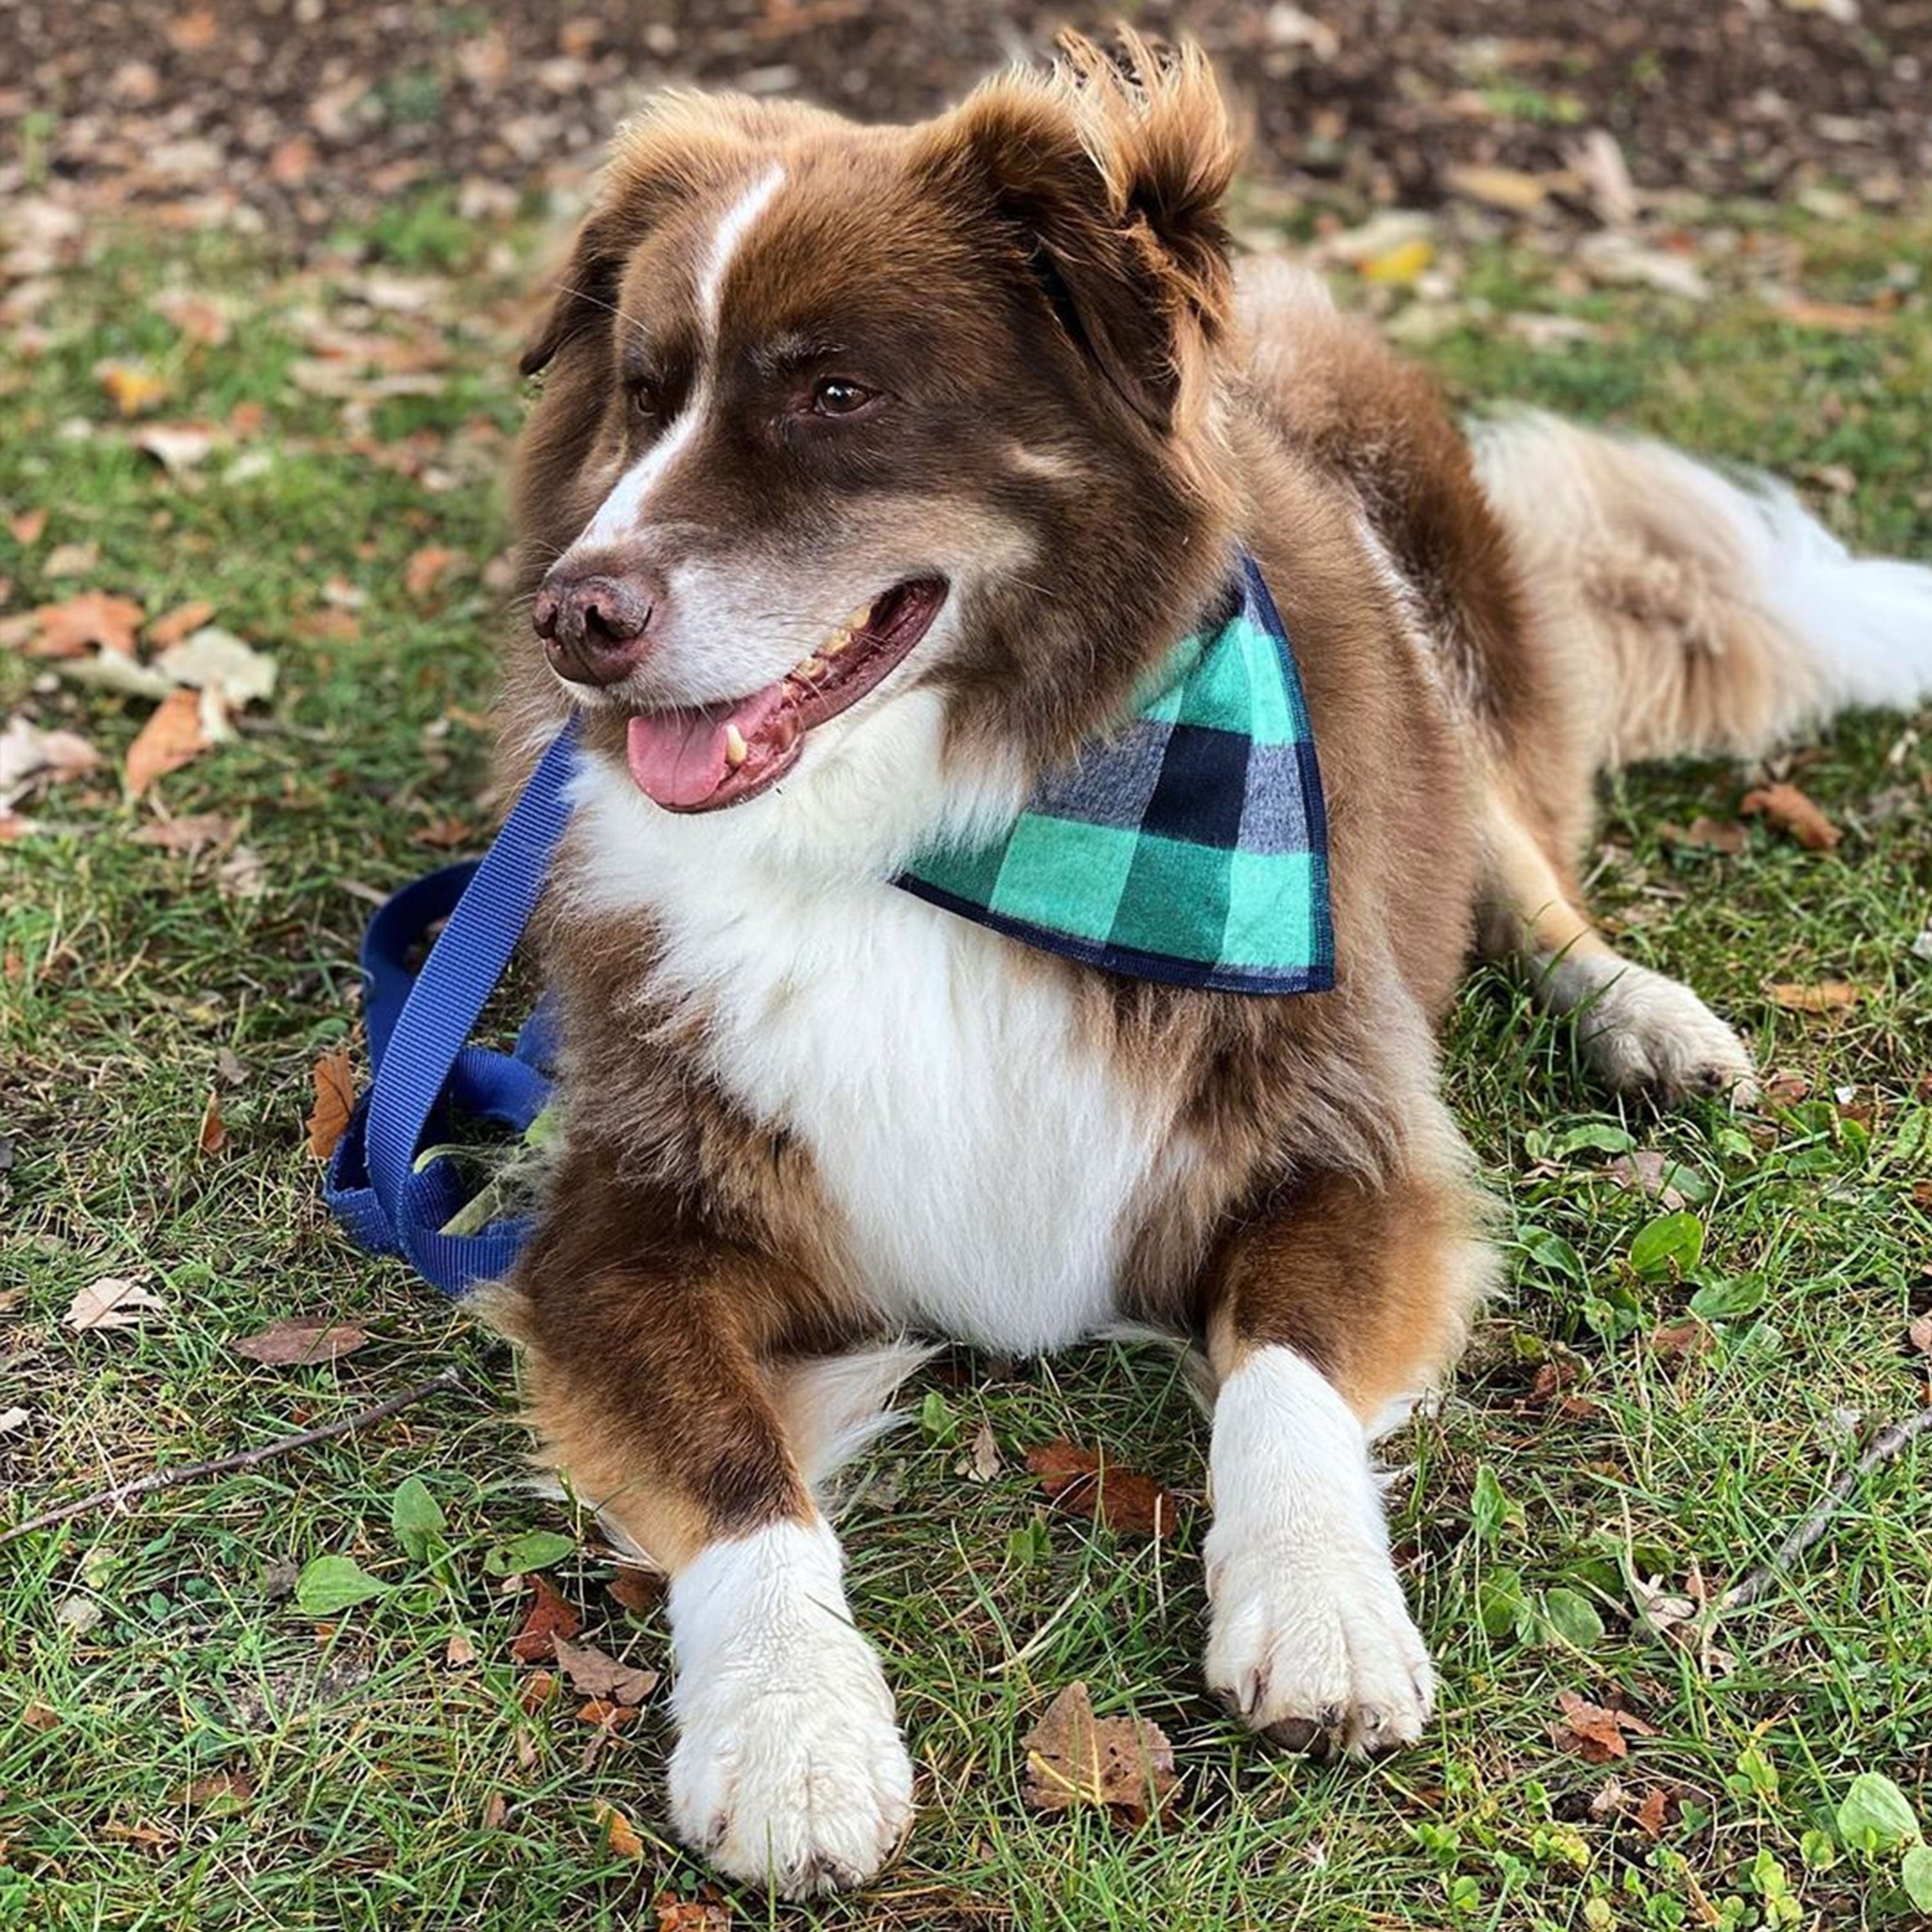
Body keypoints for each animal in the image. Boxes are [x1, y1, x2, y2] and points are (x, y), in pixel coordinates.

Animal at [491, 33, 1932, 1901]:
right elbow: (740, 1477)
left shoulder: (1344, 1123)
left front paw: (1318, 1606)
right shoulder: (620, 1225)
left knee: (1519, 860)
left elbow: (1286, 1375)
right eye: (643, 391)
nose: (574, 618)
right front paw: (793, 1729)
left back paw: (1646, 1016)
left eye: (836, 395)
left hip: (1424, 631)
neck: (940, 831)